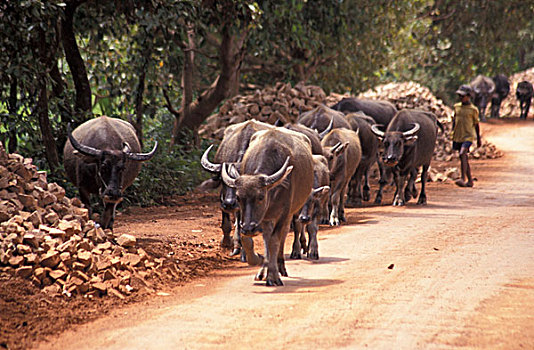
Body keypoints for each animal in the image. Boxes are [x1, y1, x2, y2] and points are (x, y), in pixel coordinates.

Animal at [200, 119, 272, 264]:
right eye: (222, 181)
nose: (229, 203)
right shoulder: (222, 199)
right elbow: (226, 223)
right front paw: (226, 242)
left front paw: (242, 250)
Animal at [221, 127, 314, 286]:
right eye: (238, 197)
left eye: (260, 197)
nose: (249, 228)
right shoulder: (256, 219)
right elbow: (250, 239)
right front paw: (258, 260)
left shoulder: (284, 212)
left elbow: (274, 240)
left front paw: (273, 276)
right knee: (267, 237)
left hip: (291, 212)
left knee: (283, 234)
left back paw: (280, 265)